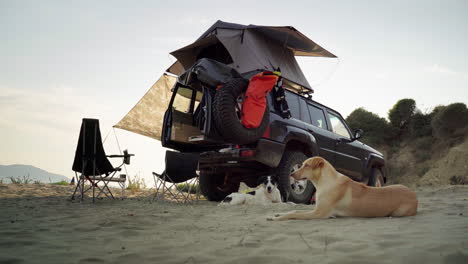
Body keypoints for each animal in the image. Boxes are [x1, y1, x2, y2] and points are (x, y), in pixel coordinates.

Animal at [268, 157, 418, 221]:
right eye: (302, 164)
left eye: (306, 165)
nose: (291, 174)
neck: (324, 182)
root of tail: (414, 195)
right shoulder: (316, 210)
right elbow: (294, 210)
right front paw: (276, 214)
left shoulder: (319, 213)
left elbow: (294, 214)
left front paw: (277, 218)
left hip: (399, 211)